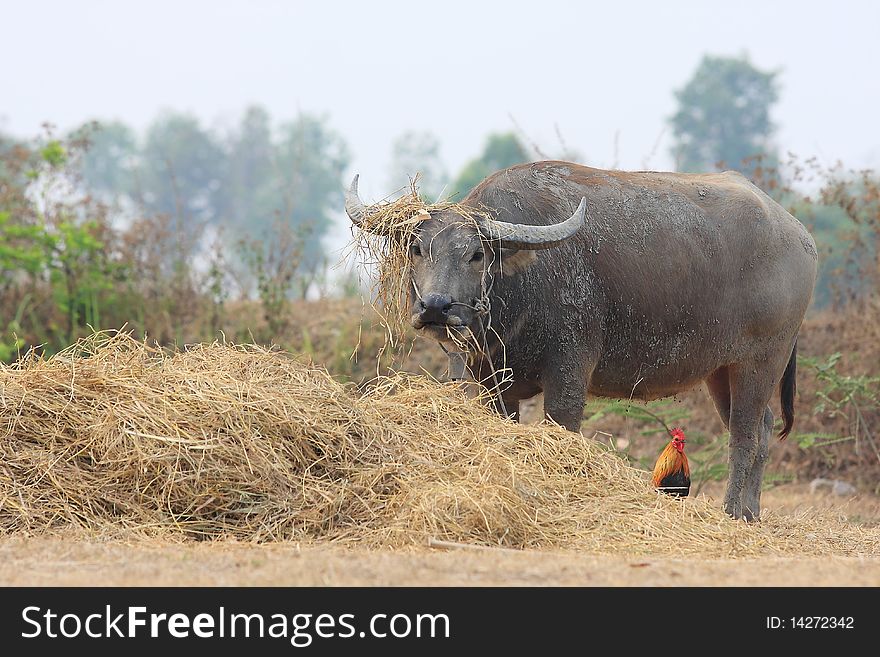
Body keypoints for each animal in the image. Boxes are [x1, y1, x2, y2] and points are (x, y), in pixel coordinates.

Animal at [344, 161, 820, 520]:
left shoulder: (569, 371)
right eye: (417, 249)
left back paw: (731, 512)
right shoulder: (489, 380)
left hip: (763, 359)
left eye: (476, 254)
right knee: (762, 426)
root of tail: (799, 236)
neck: (521, 292)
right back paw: (751, 512)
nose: (437, 306)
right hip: (721, 370)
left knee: (745, 434)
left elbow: (562, 426)